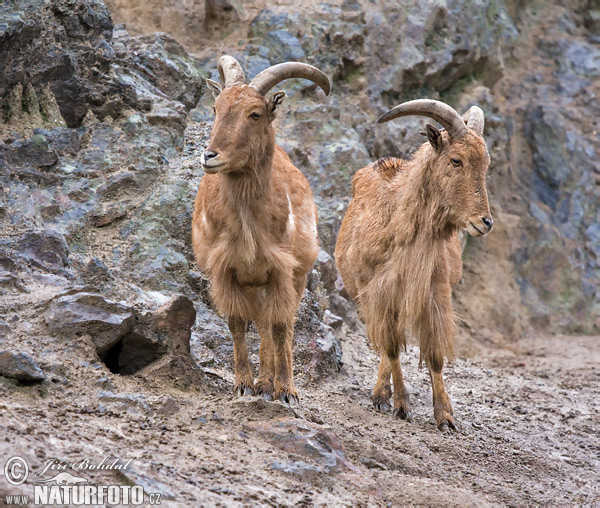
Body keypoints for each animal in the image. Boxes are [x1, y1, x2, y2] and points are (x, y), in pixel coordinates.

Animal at [336, 100, 494, 432]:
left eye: (486, 164)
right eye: (456, 160)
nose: (485, 222)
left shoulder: (435, 294)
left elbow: (434, 355)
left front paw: (445, 416)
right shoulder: (378, 294)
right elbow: (391, 348)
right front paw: (400, 404)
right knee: (388, 342)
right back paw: (382, 395)